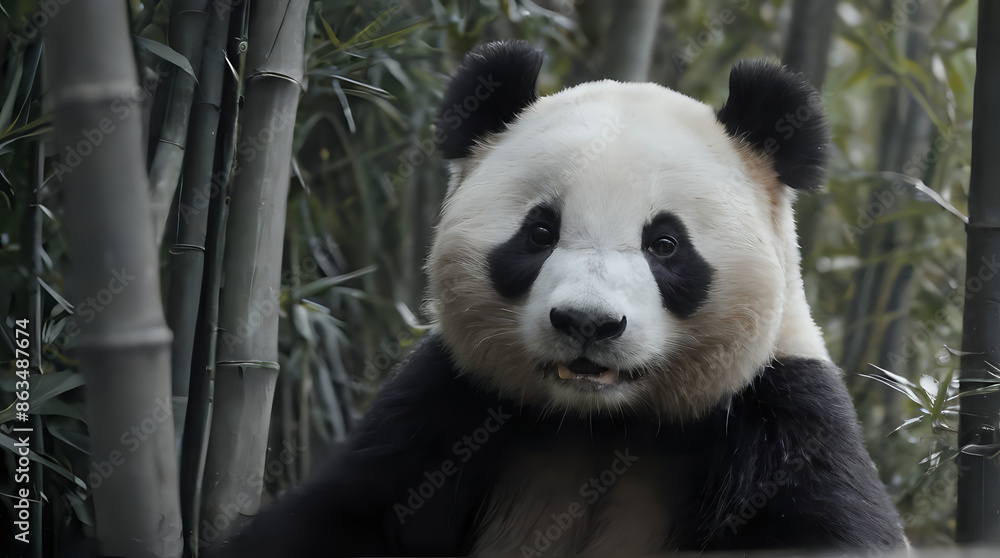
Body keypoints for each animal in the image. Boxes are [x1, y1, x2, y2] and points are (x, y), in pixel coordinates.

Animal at [214, 40, 907, 556]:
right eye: (540, 232)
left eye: (665, 244)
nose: (588, 323)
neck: (599, 423)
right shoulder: (443, 405)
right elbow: (338, 516)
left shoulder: (785, 418)